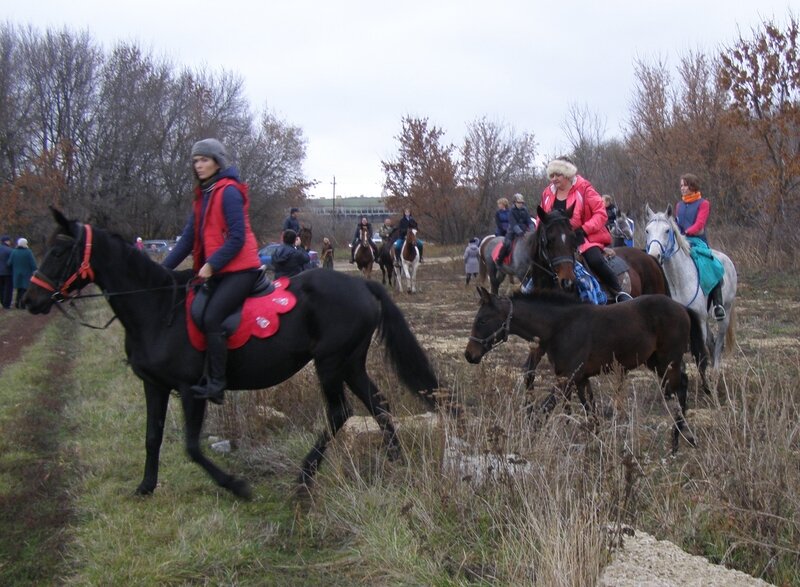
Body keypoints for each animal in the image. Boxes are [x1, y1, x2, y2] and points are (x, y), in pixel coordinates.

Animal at [25, 209, 440, 498]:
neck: (159, 309)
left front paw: (235, 485)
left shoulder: (191, 389)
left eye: (60, 250)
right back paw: (395, 461)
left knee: (340, 413)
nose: (31, 300)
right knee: (378, 403)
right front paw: (145, 486)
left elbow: (192, 446)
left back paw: (304, 476)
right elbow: (152, 436)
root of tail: (362, 288)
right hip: (350, 363)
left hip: (331, 364)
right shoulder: (153, 386)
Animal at [466, 290, 696, 454]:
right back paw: (686, 438)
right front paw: (599, 446)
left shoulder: (567, 378)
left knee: (680, 391)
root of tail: (682, 308)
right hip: (655, 363)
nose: (469, 354)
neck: (560, 327)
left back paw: (676, 442)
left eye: (482, 320)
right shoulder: (581, 379)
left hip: (668, 363)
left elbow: (543, 411)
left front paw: (530, 441)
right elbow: (592, 415)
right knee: (681, 387)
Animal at [644, 204, 736, 376]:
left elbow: (699, 354)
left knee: (719, 341)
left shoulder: (698, 321)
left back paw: (715, 371)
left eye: (667, 230)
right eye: (647, 230)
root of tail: (727, 260)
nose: (654, 255)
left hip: (724, 313)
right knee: (711, 342)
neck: (678, 281)